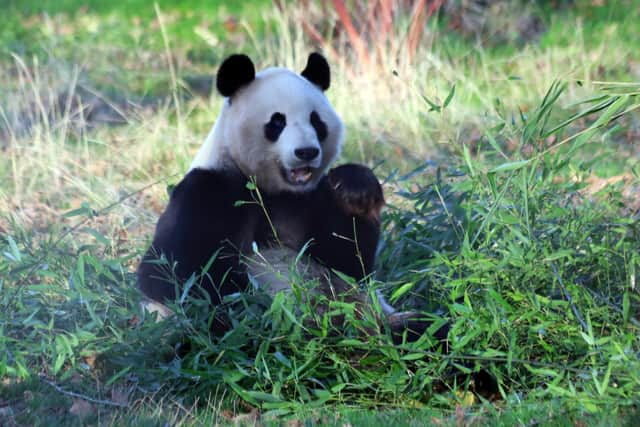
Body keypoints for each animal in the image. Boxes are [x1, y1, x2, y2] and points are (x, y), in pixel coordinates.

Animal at [138, 52, 448, 344]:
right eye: (277, 122)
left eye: (316, 120)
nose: (306, 152)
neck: (275, 190)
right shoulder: (207, 191)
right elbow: (172, 276)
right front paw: (256, 309)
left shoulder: (310, 200)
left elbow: (348, 263)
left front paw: (356, 190)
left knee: (427, 327)